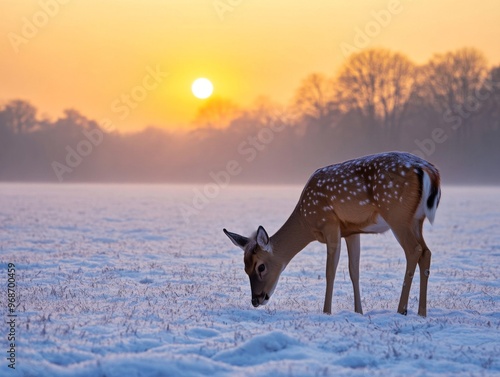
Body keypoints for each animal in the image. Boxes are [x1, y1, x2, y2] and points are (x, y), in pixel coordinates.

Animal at [224, 151, 442, 316]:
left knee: (414, 250)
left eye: (260, 267)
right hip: (417, 219)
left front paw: (326, 311)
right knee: (426, 251)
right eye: (245, 268)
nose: (256, 299)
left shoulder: (330, 223)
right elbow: (354, 270)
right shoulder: (352, 231)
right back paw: (422, 313)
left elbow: (331, 270)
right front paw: (359, 312)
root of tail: (429, 171)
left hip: (397, 214)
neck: (306, 221)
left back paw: (402, 310)